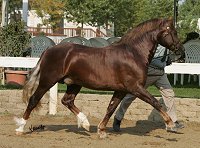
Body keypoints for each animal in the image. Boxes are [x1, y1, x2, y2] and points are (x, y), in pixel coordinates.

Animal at [15, 17, 184, 138]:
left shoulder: (121, 90)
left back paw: (85, 123)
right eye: (174, 32)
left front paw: (101, 130)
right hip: (47, 81)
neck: (133, 54)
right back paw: (20, 128)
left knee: (67, 101)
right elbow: (155, 101)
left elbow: (111, 108)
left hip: (74, 83)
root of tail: (48, 50)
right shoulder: (135, 87)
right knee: (33, 100)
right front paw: (170, 124)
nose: (181, 52)